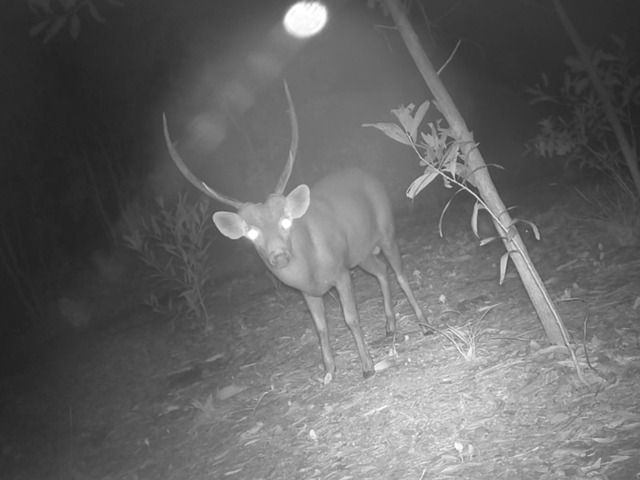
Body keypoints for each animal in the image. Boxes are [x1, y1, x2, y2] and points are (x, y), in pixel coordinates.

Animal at [163, 82, 432, 385]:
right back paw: (390, 325)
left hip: (385, 229)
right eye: (251, 233)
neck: (311, 263)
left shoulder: (340, 271)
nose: (279, 256)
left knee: (400, 273)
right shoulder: (308, 291)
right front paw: (329, 372)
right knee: (381, 271)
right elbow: (320, 328)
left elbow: (350, 318)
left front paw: (367, 366)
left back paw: (424, 324)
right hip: (360, 251)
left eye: (286, 221)